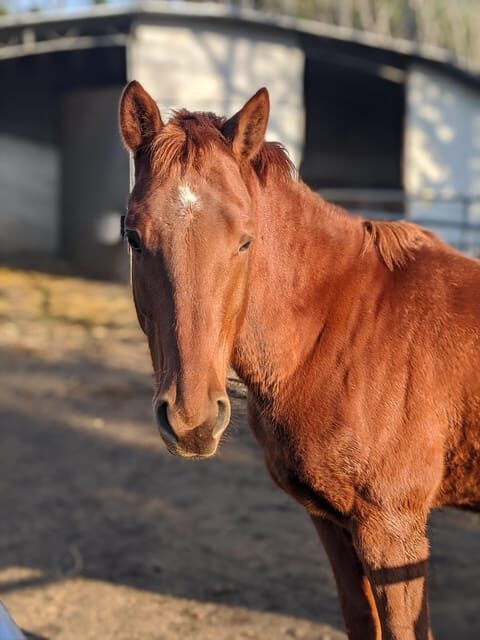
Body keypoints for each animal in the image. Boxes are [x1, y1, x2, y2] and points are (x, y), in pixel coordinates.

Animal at [118, 81, 480, 640]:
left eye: (246, 240)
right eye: (134, 237)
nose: (191, 422)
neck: (339, 325)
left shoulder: (395, 535)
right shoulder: (334, 524)